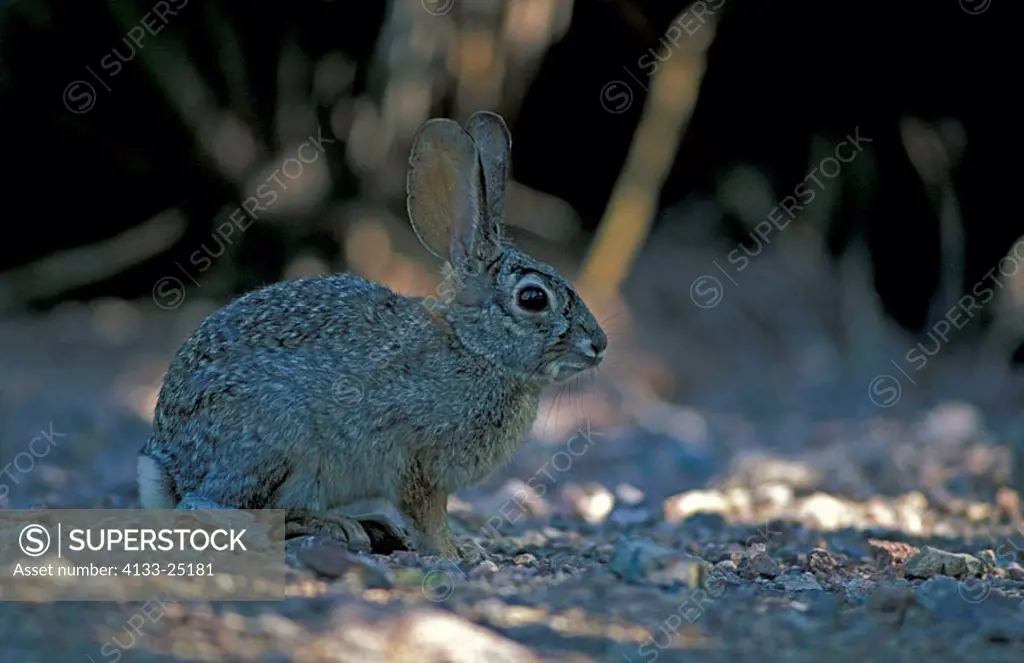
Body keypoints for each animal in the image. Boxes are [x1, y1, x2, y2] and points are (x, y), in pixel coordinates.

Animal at [141, 112, 610, 561]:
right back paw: (338, 527)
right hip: (275, 437)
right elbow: (428, 514)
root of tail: (167, 466)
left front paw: (463, 548)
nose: (599, 345)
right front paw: (452, 552)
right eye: (533, 298)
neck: (476, 348)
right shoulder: (415, 461)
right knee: (216, 507)